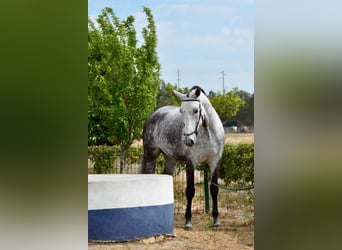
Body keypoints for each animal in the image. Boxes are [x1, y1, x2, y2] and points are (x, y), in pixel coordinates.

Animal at [140, 85, 226, 229]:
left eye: (196, 110)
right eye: (181, 111)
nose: (188, 140)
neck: (208, 133)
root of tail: (154, 114)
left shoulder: (215, 161)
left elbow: (214, 189)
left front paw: (216, 220)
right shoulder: (191, 162)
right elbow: (190, 191)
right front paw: (188, 221)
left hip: (170, 160)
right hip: (151, 154)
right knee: (147, 176)